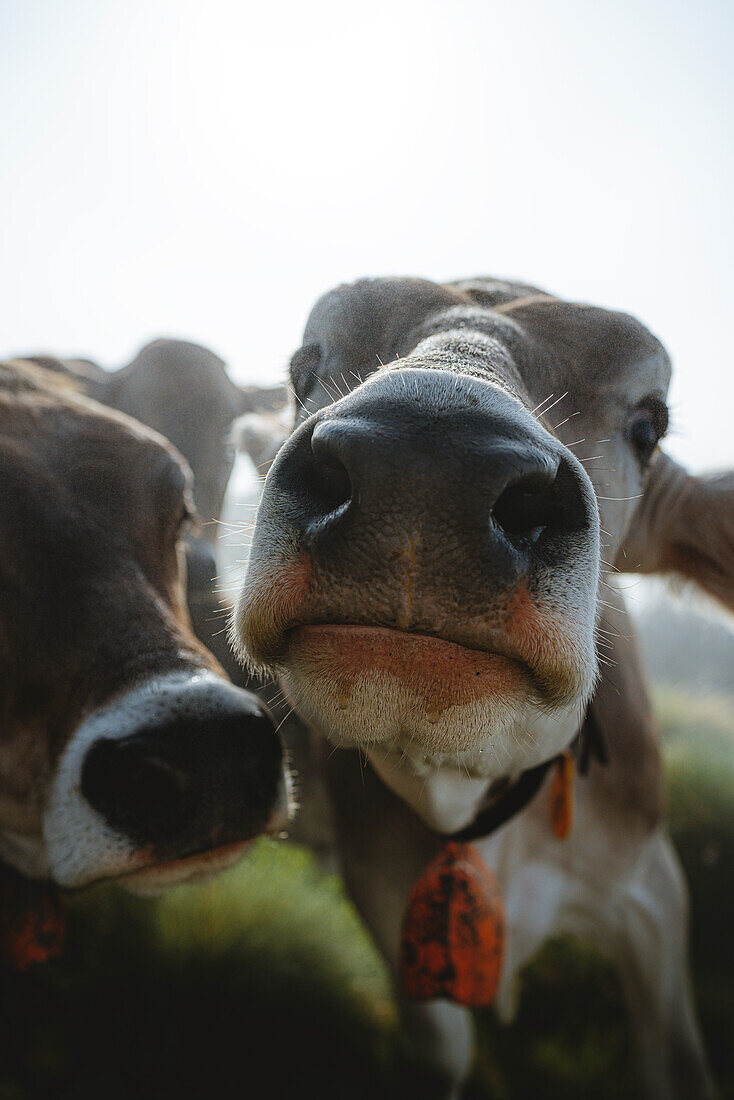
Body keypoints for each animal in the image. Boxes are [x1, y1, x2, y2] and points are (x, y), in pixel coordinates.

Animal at [231, 279, 721, 1095]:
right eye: (303, 371)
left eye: (648, 424)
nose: (425, 470)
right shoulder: (383, 889)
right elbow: (442, 1049)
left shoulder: (653, 894)